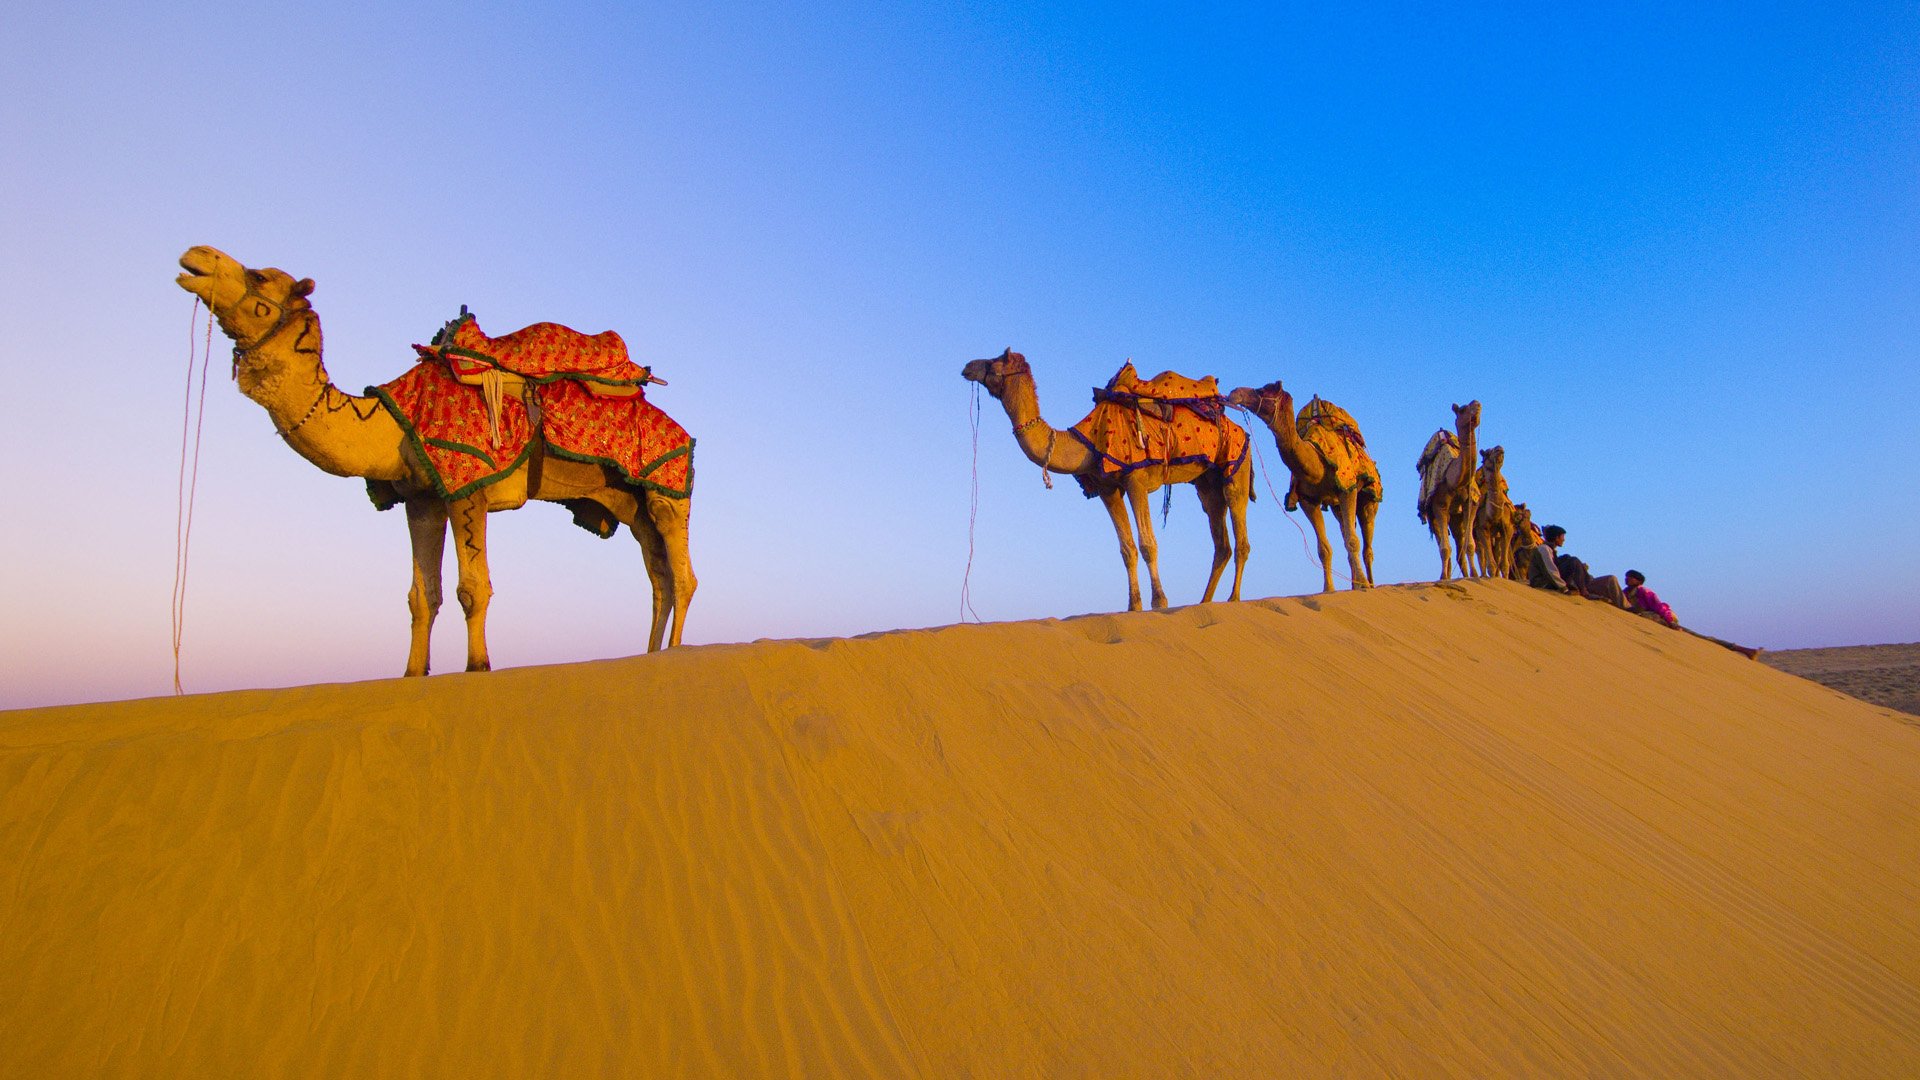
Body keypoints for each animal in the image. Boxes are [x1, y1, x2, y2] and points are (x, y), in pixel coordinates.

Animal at [175, 246, 695, 676]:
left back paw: (674, 652)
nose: (194, 256)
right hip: (626, 501)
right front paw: (412, 672)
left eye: (260, 276)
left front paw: (477, 666)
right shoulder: (421, 497)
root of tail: (681, 429)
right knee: (658, 577)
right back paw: (651, 653)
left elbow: (473, 588)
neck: (389, 422)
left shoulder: (468, 486)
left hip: (667, 489)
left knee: (683, 576)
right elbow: (421, 597)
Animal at [961, 349, 1251, 611]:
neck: (1086, 441)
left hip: (1236, 464)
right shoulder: (1107, 488)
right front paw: (1133, 606)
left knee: (1240, 534)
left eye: (995, 360)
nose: (967, 366)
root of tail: (1238, 427)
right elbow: (1127, 549)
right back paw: (1205, 602)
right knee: (1220, 539)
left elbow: (1147, 544)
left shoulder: (1135, 480)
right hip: (1207, 482)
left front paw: (1159, 602)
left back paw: (1234, 599)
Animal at [1226, 381, 1380, 591]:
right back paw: (1354, 583)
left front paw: (1363, 584)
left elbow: (1352, 542)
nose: (1235, 393)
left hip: (1369, 497)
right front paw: (1328, 589)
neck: (1318, 463)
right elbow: (1324, 549)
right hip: (1336, 506)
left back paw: (1369, 583)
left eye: (1262, 390)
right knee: (1345, 530)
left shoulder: (1348, 488)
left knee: (1366, 545)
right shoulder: (1309, 500)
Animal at [1415, 401, 1482, 580]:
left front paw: (1474, 575)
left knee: (1459, 546)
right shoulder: (1439, 504)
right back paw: (1446, 575)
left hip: (1456, 517)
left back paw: (1464, 575)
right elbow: (1445, 548)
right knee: (1443, 543)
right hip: (1432, 514)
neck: (1454, 479)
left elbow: (1469, 544)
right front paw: (1444, 577)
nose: (1477, 404)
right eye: (1463, 409)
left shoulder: (1470, 502)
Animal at [1471, 445, 1514, 579]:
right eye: (1487, 453)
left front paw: (1504, 579)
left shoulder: (1508, 529)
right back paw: (1483, 576)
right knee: (1480, 552)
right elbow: (1490, 562)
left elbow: (1504, 564)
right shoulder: (1482, 528)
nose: (1499, 448)